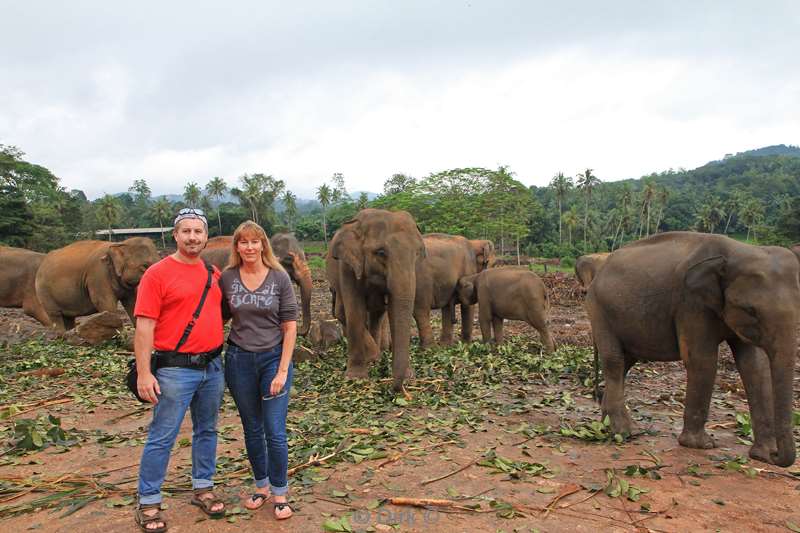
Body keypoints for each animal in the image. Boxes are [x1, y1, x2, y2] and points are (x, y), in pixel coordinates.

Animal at [326, 208, 424, 390]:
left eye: (417, 253)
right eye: (381, 253)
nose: (395, 389)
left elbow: (393, 309)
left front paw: (407, 375)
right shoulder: (347, 267)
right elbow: (354, 310)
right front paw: (356, 377)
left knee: (377, 314)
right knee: (342, 312)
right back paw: (373, 356)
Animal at [584, 232, 796, 466]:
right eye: (751, 310)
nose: (776, 456)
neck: (736, 250)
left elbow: (755, 367)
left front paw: (762, 455)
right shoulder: (691, 303)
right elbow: (702, 360)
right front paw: (701, 445)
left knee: (625, 364)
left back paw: (610, 426)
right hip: (598, 310)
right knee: (614, 361)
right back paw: (623, 433)